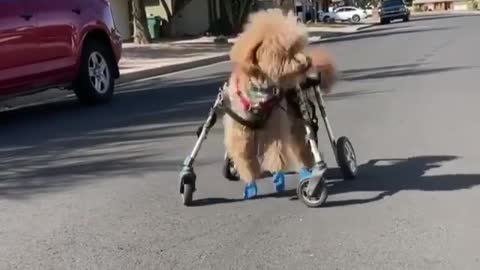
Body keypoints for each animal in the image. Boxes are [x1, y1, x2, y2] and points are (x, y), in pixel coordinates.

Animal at [223, 8, 336, 199]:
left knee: (302, 147)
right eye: (286, 52)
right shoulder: (241, 131)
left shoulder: (274, 127)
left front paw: (278, 178)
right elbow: (244, 157)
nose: (308, 61)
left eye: (298, 47)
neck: (259, 93)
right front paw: (250, 181)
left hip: (296, 119)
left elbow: (276, 154)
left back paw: (308, 171)